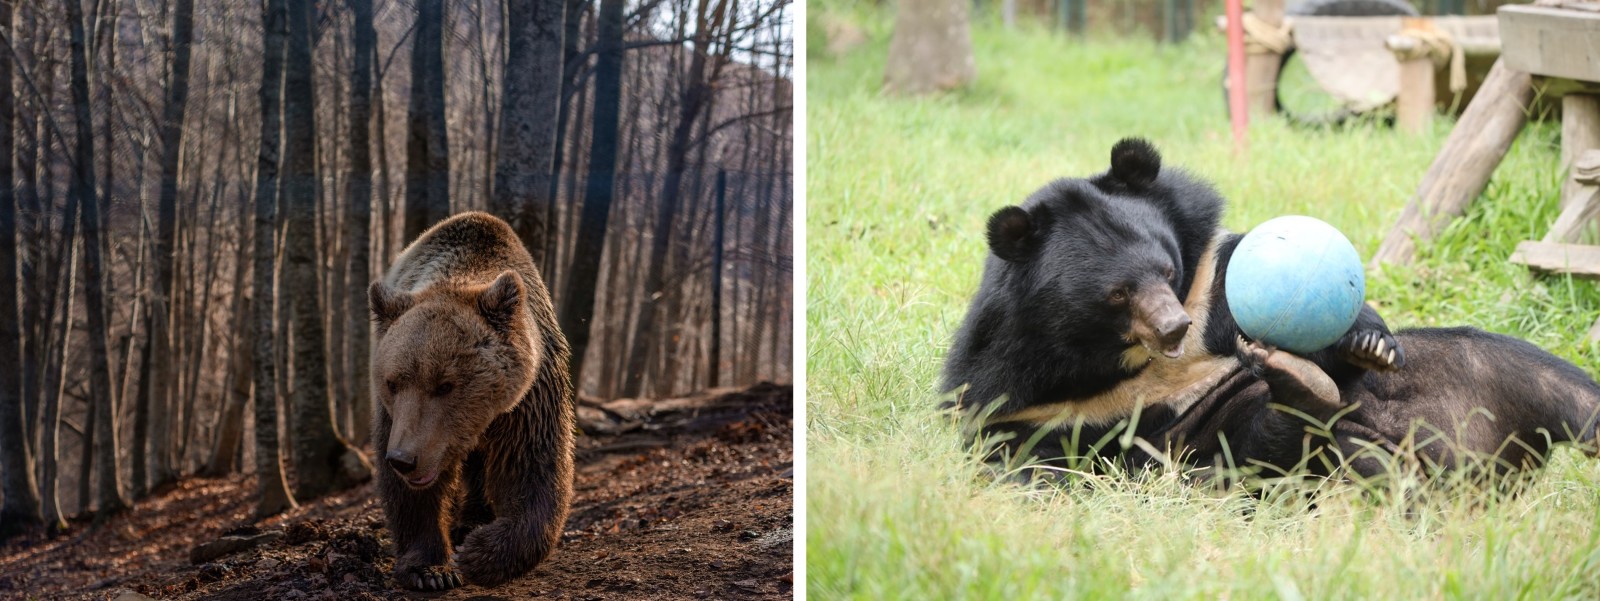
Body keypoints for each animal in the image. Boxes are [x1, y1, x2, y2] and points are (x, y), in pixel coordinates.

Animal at [368, 212, 576, 591]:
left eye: (445, 385)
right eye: (392, 382)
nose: (404, 459)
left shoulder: (529, 402)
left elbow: (535, 470)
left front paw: (478, 553)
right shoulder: (395, 419)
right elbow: (413, 497)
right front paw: (430, 570)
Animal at [940, 138, 1600, 482]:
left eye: (1166, 271)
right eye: (1117, 295)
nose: (1175, 329)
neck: (1122, 361)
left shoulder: (1207, 279)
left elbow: (1240, 281)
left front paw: (1370, 340)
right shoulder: (1031, 401)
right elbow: (1038, 458)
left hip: (1470, 373)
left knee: (1544, 380)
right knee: (1262, 449)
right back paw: (1304, 393)